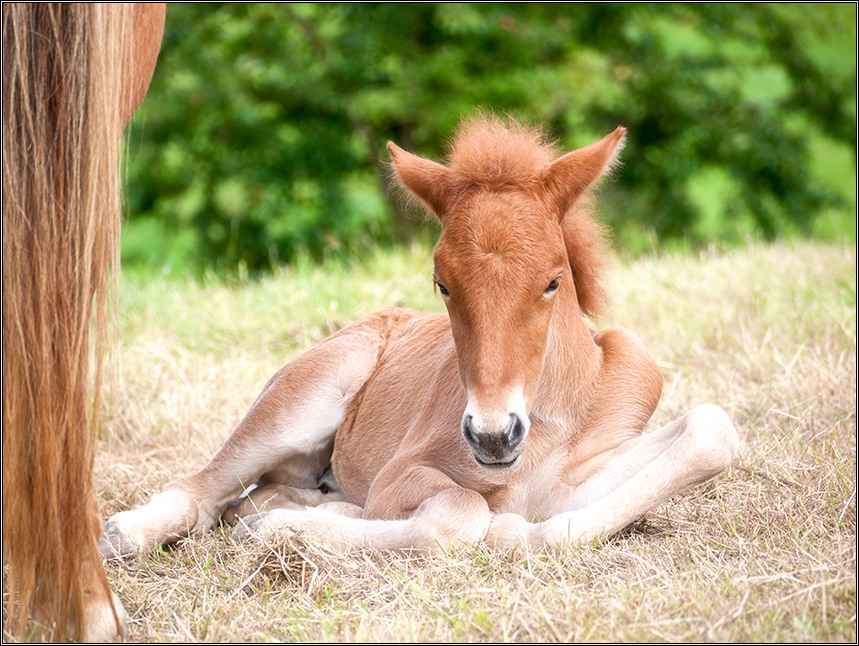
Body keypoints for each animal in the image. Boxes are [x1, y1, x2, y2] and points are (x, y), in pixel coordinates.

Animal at [102, 116, 740, 556]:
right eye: (442, 284)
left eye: (553, 281)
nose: (492, 436)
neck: (554, 416)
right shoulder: (400, 475)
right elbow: (459, 513)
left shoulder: (575, 475)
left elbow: (711, 431)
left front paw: (514, 531)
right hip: (304, 394)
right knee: (206, 488)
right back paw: (127, 533)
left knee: (259, 497)